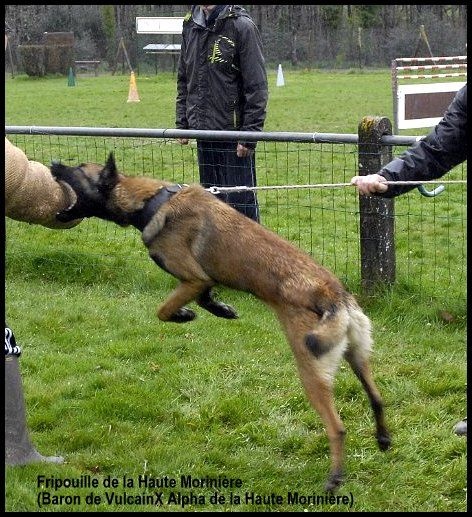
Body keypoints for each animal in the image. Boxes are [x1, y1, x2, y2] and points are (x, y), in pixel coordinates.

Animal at [51, 152, 390, 488]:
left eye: (79, 168)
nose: (53, 163)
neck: (151, 201)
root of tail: (334, 295)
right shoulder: (203, 281)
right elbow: (206, 298)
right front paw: (221, 309)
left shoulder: (193, 278)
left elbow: (163, 310)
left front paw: (184, 315)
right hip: (357, 356)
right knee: (376, 398)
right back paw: (383, 439)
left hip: (310, 367)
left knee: (337, 426)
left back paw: (335, 478)